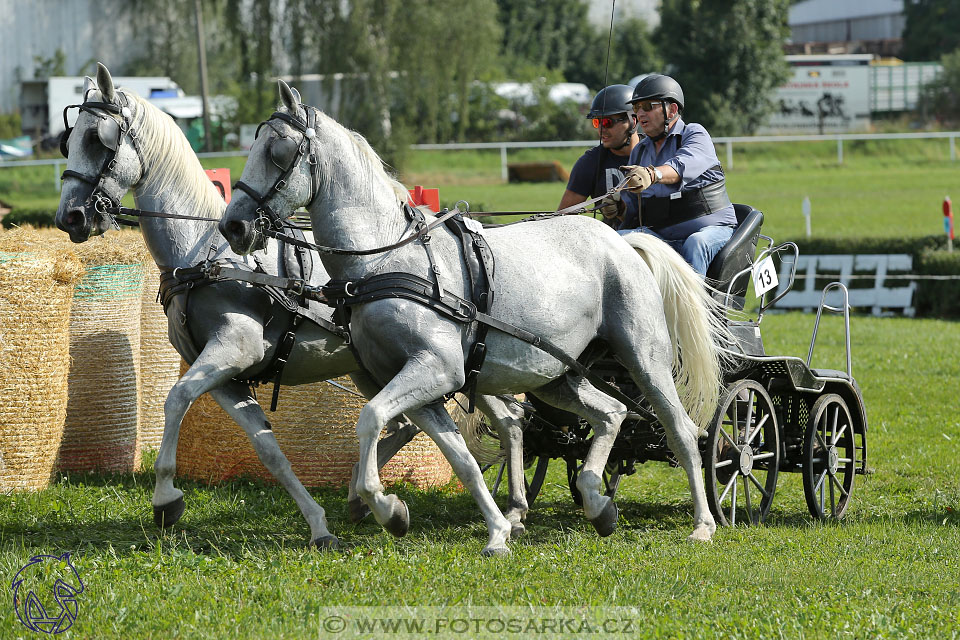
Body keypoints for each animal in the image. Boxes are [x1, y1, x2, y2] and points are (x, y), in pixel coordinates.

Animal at [52, 61, 528, 552]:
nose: (70, 217)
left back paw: (498, 510)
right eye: (69, 141)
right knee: (480, 420)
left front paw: (166, 497)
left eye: (98, 139)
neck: (206, 254)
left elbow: (176, 399)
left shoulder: (232, 350)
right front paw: (319, 524)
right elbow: (269, 450)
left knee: (498, 418)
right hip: (390, 368)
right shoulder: (227, 377)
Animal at [218, 81, 728, 556]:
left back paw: (703, 523)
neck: (386, 260)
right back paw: (597, 504)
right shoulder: (418, 383)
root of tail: (623, 240)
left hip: (645, 359)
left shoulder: (436, 369)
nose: (233, 226)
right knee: (611, 413)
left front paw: (386, 507)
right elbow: (459, 458)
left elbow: (371, 418)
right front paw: (494, 530)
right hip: (555, 374)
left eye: (278, 151)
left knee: (681, 431)